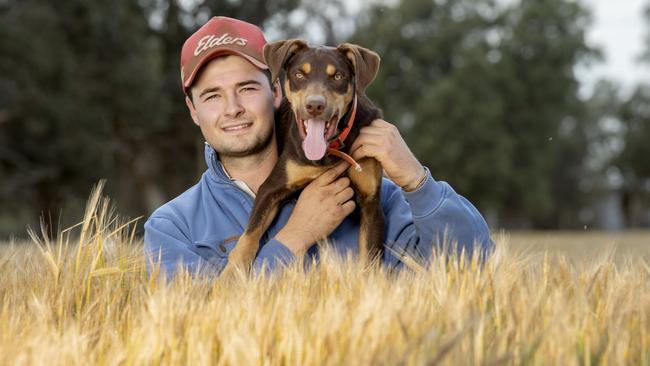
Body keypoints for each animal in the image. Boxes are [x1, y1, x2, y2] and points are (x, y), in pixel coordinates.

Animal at [223, 40, 384, 276]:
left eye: (338, 76)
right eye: (299, 74)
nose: (315, 105)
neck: (329, 152)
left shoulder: (370, 203)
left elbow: (369, 262)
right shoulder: (270, 189)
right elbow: (248, 237)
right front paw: (229, 276)